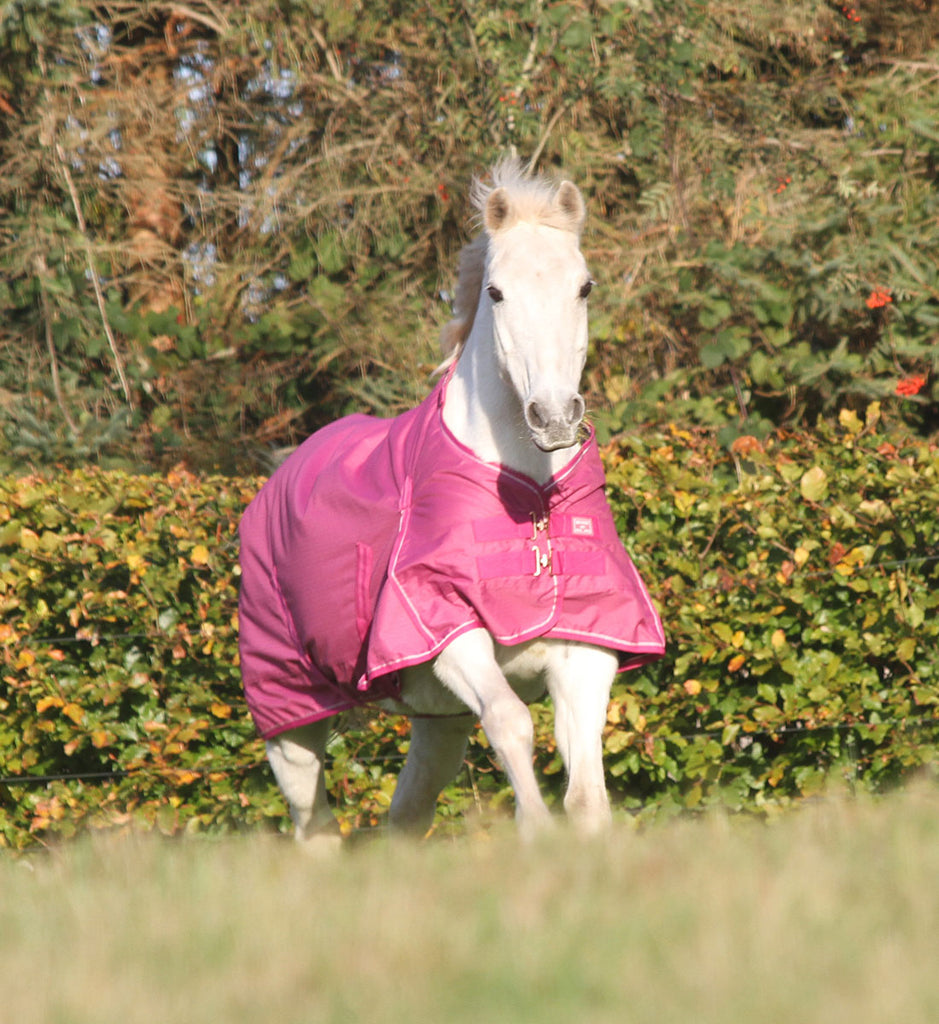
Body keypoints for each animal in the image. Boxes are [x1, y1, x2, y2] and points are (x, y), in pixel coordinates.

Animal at [241, 159, 667, 847]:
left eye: (584, 287)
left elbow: (587, 795)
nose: (554, 417)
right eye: (495, 292)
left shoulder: (589, 642)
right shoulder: (444, 627)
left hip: (437, 721)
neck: (531, 503)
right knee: (316, 828)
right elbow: (512, 722)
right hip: (291, 723)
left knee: (405, 816)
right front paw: (535, 835)